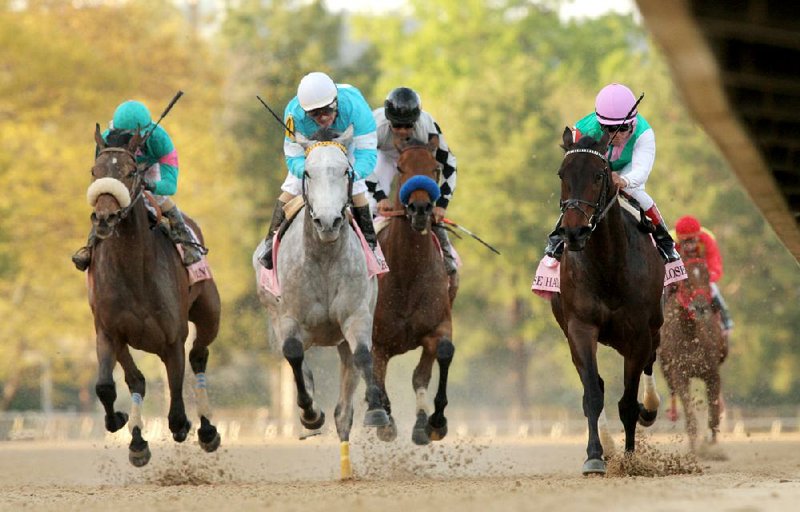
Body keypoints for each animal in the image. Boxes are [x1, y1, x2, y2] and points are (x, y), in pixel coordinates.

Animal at [84, 125, 220, 468]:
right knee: (139, 380)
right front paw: (122, 425)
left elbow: (176, 400)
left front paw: (186, 425)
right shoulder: (109, 332)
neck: (134, 271)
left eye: (131, 172)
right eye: (94, 171)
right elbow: (108, 386)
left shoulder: (173, 338)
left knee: (198, 356)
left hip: (210, 313)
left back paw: (207, 430)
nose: (103, 218)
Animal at [252, 126, 386, 478]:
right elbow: (294, 355)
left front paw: (377, 410)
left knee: (344, 407)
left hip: (340, 341)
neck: (324, 257)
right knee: (297, 363)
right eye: (308, 173)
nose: (328, 222)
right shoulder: (289, 320)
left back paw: (346, 467)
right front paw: (311, 414)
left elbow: (364, 354)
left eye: (346, 172)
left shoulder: (356, 316)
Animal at [370, 139, 454, 444]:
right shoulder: (378, 341)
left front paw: (432, 423)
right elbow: (377, 376)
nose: (420, 208)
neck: (407, 273)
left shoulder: (438, 326)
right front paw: (385, 422)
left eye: (436, 168)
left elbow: (435, 361)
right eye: (400, 167)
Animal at [552, 128, 664, 476]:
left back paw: (649, 408)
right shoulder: (580, 328)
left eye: (599, 175)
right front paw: (595, 456)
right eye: (562, 174)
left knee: (650, 363)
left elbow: (627, 402)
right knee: (596, 385)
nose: (574, 232)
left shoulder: (638, 333)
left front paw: (630, 459)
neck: (608, 266)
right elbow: (592, 394)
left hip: (655, 327)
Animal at [656, 251, 724, 448]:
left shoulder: (712, 372)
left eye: (707, 276)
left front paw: (712, 446)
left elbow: (714, 415)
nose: (701, 307)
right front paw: (696, 449)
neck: (690, 335)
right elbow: (690, 416)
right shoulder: (680, 374)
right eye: (686, 281)